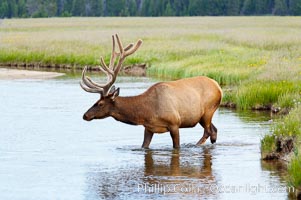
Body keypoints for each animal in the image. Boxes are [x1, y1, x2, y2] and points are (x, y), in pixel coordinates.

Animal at [81, 34, 221, 148]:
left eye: (100, 104)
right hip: (202, 116)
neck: (147, 112)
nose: (85, 115)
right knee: (214, 131)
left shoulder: (174, 123)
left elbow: (176, 147)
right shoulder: (148, 128)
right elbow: (144, 146)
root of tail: (218, 86)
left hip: (208, 111)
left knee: (208, 131)